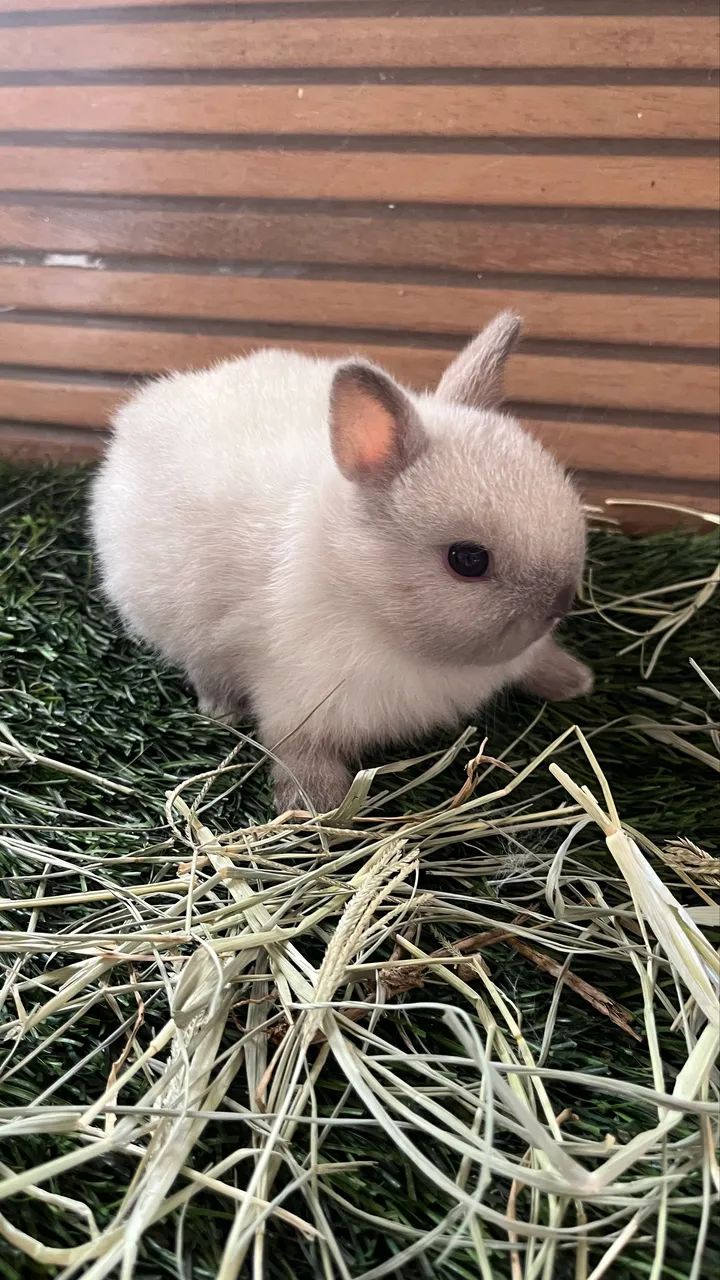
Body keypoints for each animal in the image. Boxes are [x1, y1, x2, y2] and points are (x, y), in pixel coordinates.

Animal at [90, 311, 592, 815]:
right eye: (468, 560)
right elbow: (297, 749)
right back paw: (221, 709)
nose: (559, 603)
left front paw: (574, 680)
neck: (359, 586)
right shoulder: (299, 703)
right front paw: (317, 805)